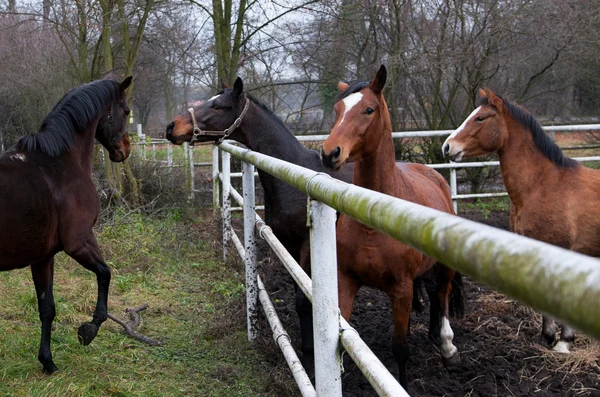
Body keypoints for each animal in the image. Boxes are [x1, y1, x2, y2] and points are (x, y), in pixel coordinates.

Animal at [0, 72, 132, 372]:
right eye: (126, 111)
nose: (125, 149)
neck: (60, 163)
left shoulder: (43, 257)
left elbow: (47, 308)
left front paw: (47, 361)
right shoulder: (79, 242)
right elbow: (105, 273)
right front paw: (89, 330)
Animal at [322, 65, 462, 386]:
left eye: (368, 109)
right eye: (337, 110)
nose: (330, 152)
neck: (373, 223)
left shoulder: (401, 288)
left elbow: (401, 349)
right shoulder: (346, 281)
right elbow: (345, 338)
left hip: (443, 268)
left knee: (442, 295)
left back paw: (448, 347)